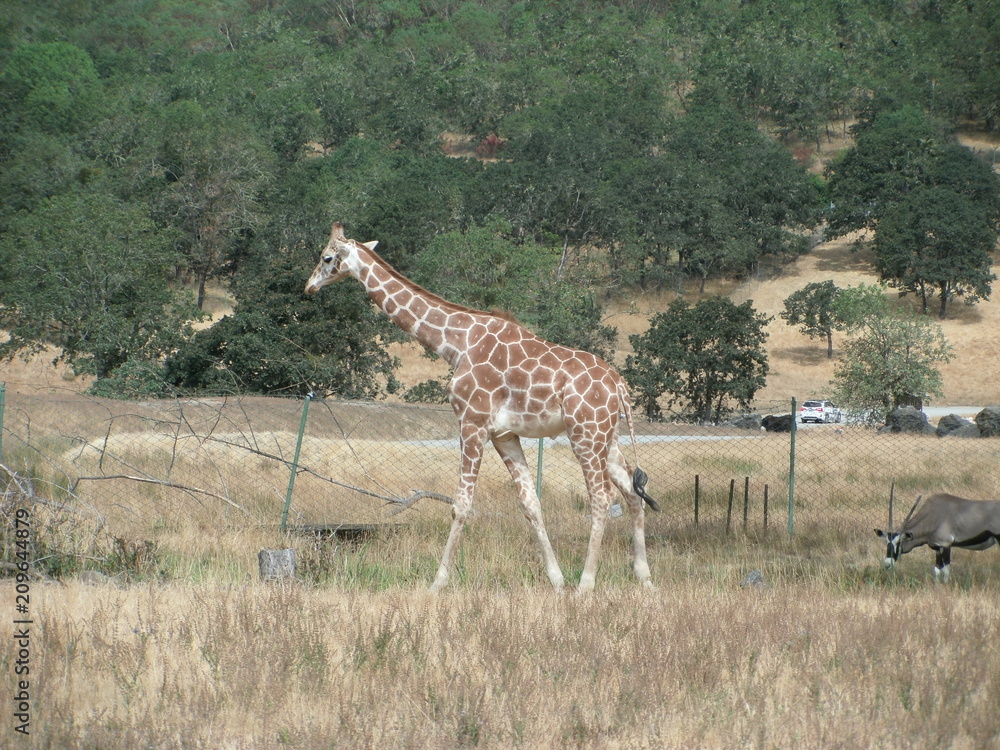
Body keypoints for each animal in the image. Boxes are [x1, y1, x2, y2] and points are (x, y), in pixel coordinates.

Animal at [305, 222, 660, 593]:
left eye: (326, 257)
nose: (308, 287)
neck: (455, 343)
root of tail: (619, 385)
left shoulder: (471, 422)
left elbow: (461, 505)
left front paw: (437, 583)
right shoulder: (504, 434)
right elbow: (530, 504)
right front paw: (556, 580)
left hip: (585, 434)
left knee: (603, 497)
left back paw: (586, 585)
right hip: (608, 437)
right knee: (633, 492)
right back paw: (645, 579)